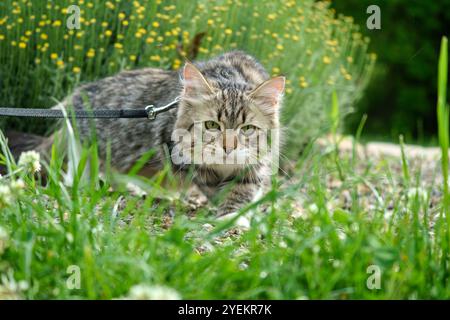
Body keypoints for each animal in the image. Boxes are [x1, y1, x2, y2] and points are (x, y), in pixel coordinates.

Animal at [6, 50, 284, 220]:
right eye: (211, 126)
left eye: (247, 129)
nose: (229, 147)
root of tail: (75, 97)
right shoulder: (180, 154)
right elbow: (220, 188)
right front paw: (229, 216)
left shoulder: (257, 161)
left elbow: (243, 189)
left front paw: (237, 215)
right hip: (84, 148)